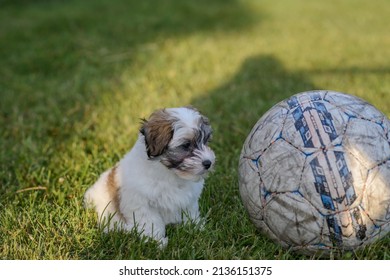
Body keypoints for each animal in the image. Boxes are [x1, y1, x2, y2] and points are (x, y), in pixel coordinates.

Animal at [83, 106, 215, 246]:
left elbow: (190, 212)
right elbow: (151, 222)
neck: (170, 173)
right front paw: (157, 241)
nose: (208, 163)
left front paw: (196, 227)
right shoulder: (141, 203)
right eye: (186, 145)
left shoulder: (188, 200)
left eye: (206, 141)